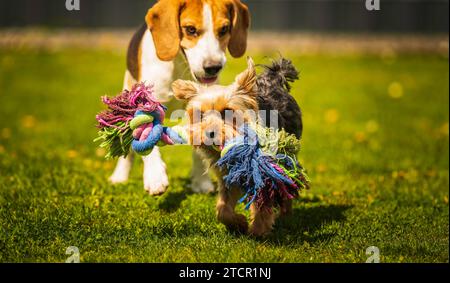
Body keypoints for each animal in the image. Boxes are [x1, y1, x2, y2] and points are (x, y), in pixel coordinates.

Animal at [109, 0, 250, 195]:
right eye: (190, 29)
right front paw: (155, 177)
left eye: (224, 29)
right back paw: (119, 176)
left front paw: (201, 182)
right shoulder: (146, 103)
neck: (179, 65)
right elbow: (146, 134)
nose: (213, 67)